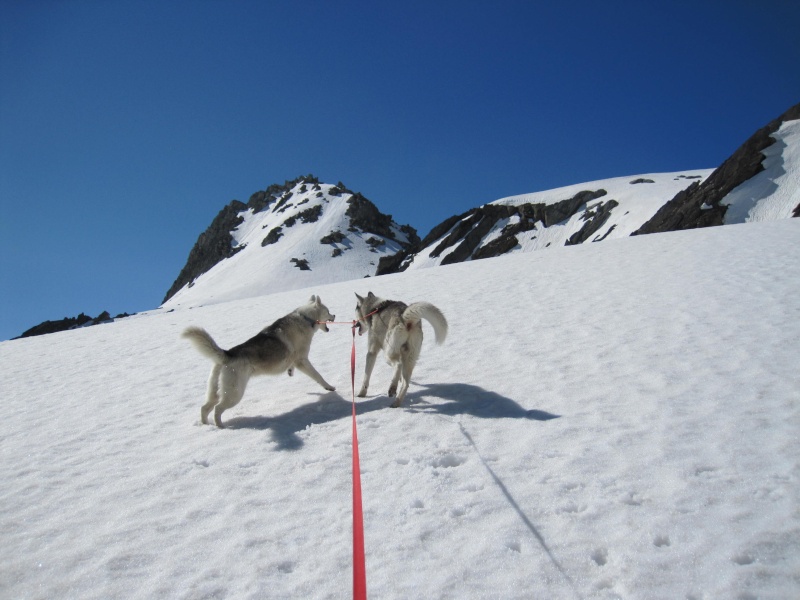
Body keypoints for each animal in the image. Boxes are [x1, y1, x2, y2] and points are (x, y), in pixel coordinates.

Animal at [183, 296, 336, 426]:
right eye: (328, 311)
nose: (334, 315)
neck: (306, 318)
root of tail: (227, 354)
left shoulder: (294, 360)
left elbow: (292, 366)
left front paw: (290, 371)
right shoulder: (302, 360)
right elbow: (318, 376)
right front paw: (329, 387)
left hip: (215, 392)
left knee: (204, 408)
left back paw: (206, 425)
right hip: (234, 394)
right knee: (217, 409)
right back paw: (221, 427)